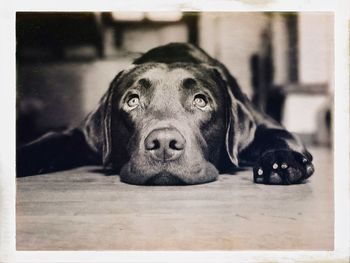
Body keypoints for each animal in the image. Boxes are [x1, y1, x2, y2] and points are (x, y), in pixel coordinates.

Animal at [17, 42, 314, 186]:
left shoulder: (267, 127)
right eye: (132, 101)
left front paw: (280, 162)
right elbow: (50, 140)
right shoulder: (78, 135)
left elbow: (282, 137)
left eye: (201, 101)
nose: (163, 144)